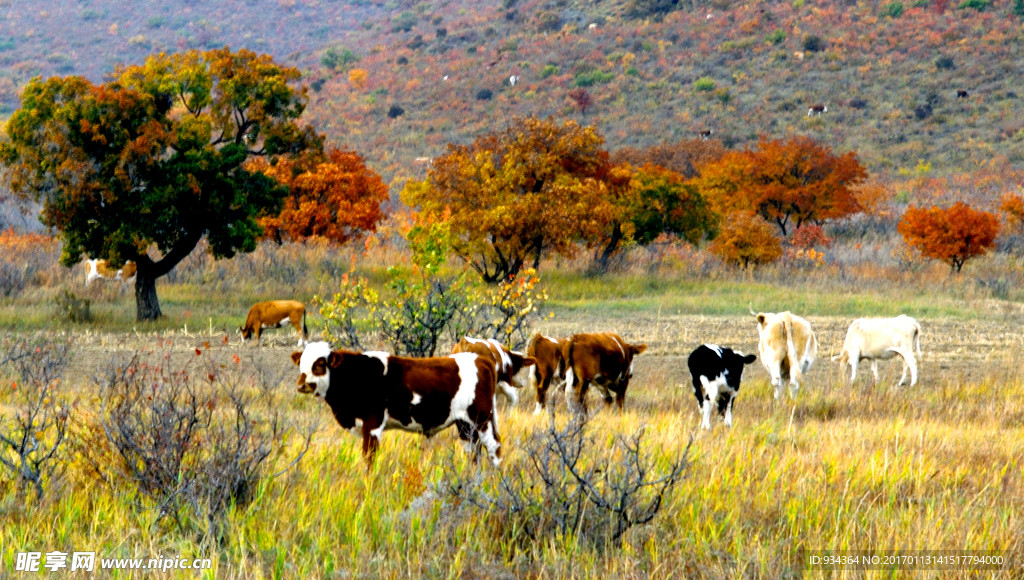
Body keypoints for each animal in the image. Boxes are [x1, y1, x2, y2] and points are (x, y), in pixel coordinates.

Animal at [290, 340, 501, 469]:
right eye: (301, 363)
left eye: (319, 364)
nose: (301, 385)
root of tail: (481, 360)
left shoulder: (372, 423)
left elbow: (369, 457)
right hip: (465, 424)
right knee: (473, 450)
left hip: (483, 418)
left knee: (493, 446)